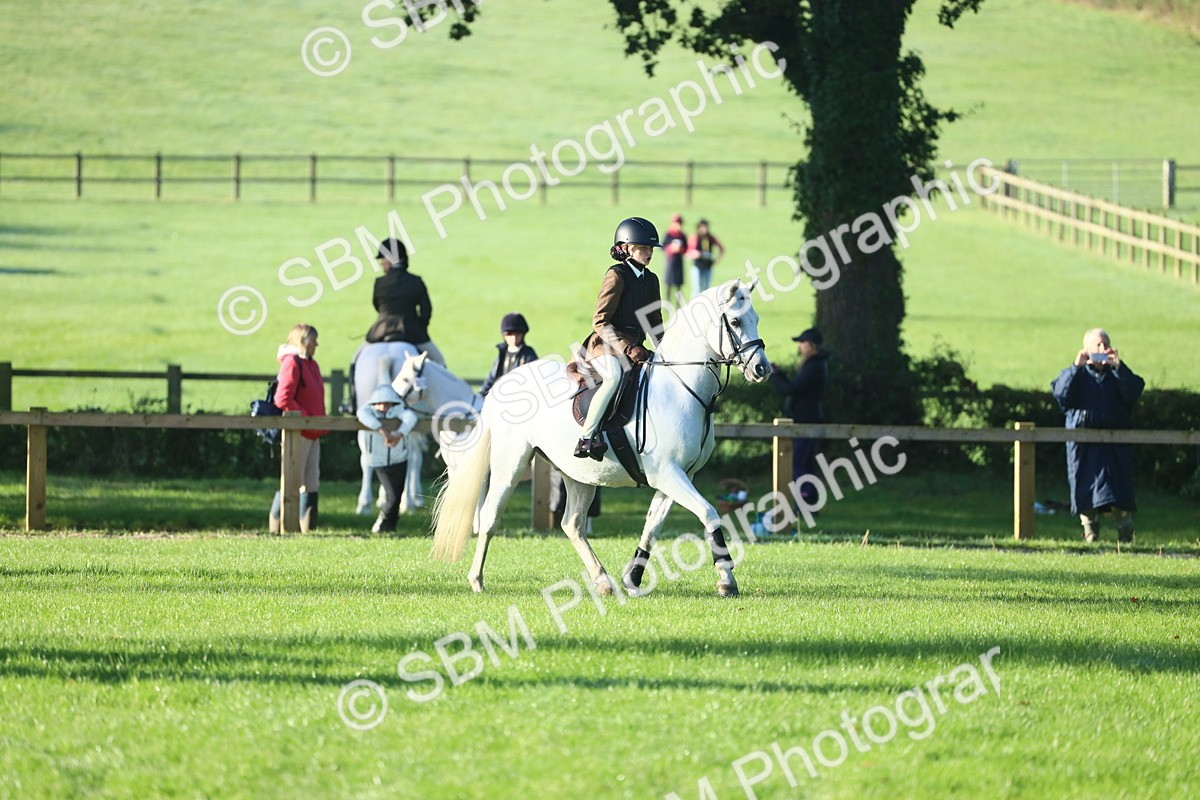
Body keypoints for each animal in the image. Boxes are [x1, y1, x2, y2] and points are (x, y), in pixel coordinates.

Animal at [431, 279, 771, 597]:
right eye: (736, 321)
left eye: (756, 318)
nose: (762, 369)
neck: (679, 386)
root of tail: (504, 383)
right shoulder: (667, 473)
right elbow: (709, 514)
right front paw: (726, 580)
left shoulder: (678, 476)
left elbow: (652, 526)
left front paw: (632, 579)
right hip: (510, 463)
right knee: (490, 516)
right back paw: (477, 580)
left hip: (577, 473)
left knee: (572, 524)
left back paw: (603, 581)